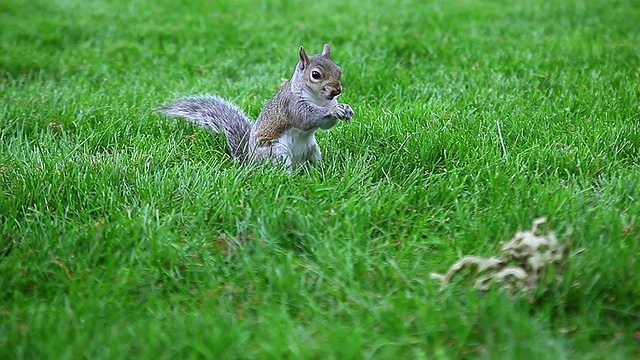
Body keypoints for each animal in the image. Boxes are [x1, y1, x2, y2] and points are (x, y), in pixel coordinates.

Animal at [158, 44, 352, 168]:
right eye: (315, 75)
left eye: (339, 69)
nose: (337, 90)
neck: (319, 99)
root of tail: (250, 163)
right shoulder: (291, 105)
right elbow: (306, 119)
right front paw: (333, 110)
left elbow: (326, 124)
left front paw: (345, 108)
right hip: (276, 153)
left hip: (312, 149)